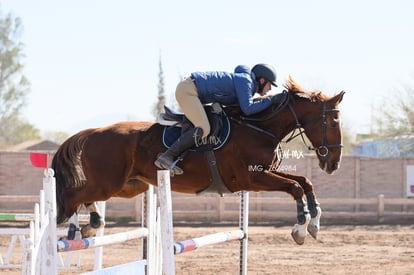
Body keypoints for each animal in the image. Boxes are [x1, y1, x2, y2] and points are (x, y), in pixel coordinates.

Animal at [51, 77, 344, 246]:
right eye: (332, 122)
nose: (333, 164)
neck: (260, 127)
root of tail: (92, 132)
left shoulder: (266, 173)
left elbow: (304, 182)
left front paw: (315, 224)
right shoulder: (254, 178)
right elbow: (294, 187)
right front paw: (300, 229)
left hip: (128, 186)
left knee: (84, 198)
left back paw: (90, 226)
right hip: (108, 183)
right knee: (71, 195)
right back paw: (70, 228)